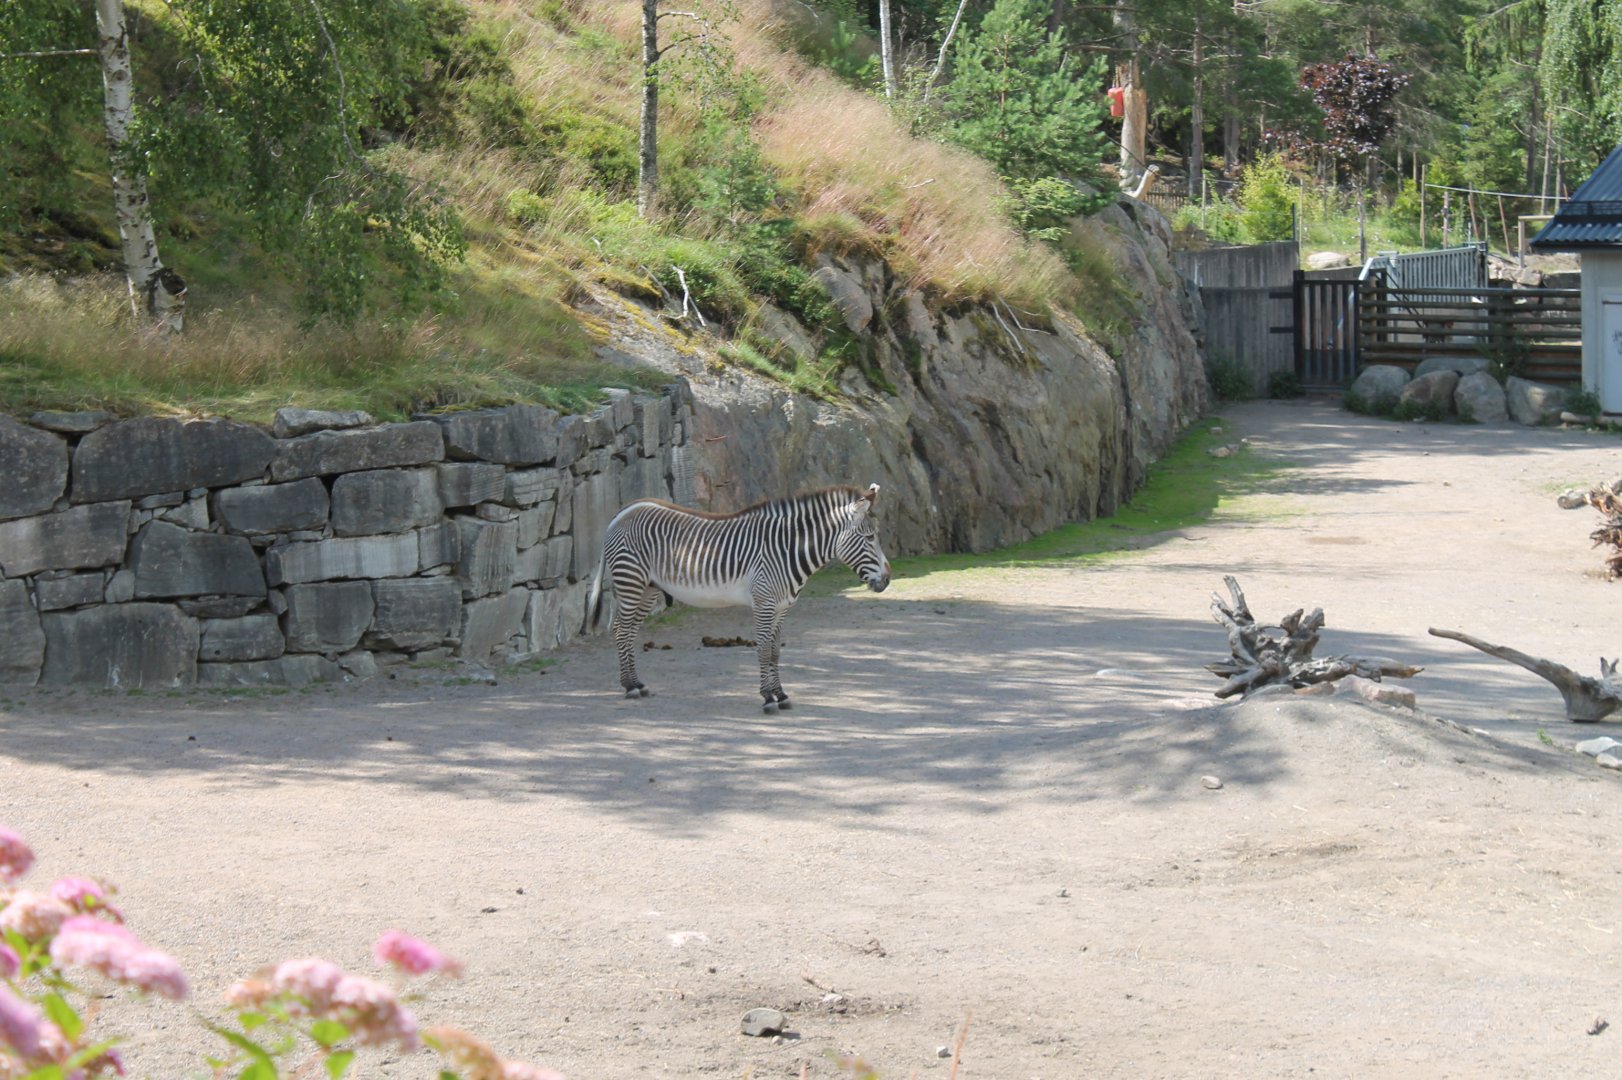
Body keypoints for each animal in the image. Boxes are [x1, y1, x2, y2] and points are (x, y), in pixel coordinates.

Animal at [588, 484, 891, 711]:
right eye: (869, 538)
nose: (888, 580)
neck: (786, 551)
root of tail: (625, 509)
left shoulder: (782, 608)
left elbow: (775, 652)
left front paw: (781, 694)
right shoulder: (764, 603)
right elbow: (763, 650)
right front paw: (767, 698)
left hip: (648, 588)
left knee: (628, 632)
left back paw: (637, 684)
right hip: (631, 581)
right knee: (621, 630)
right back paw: (629, 687)